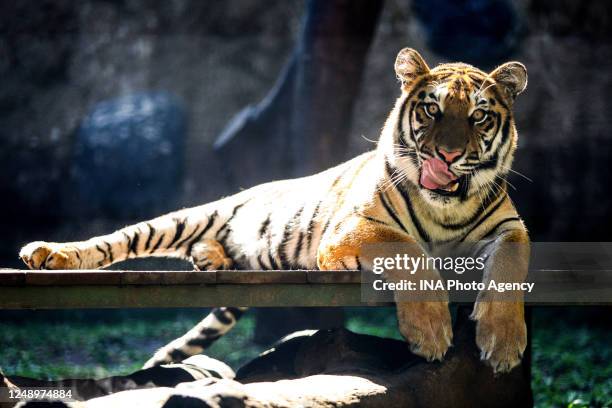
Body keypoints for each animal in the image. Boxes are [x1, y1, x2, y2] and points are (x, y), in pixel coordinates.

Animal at [16, 47, 528, 372]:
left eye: (478, 115)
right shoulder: (351, 228)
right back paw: (48, 253)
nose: (447, 155)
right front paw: (430, 333)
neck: (448, 208)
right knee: (115, 241)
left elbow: (509, 267)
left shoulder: (511, 229)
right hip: (186, 218)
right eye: (431, 110)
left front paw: (503, 346)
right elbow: (409, 251)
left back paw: (210, 257)